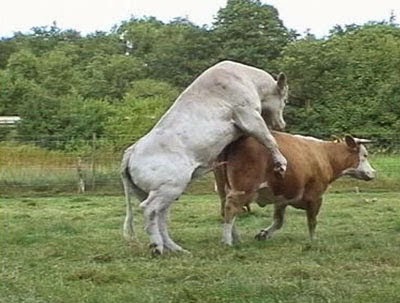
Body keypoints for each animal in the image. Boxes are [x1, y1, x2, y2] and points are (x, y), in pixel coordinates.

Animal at [121, 60, 288, 255]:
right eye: (285, 100)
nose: (282, 124)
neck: (247, 79)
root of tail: (132, 151)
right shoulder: (248, 116)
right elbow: (268, 139)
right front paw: (281, 163)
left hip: (160, 192)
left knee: (160, 217)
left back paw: (177, 249)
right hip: (169, 187)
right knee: (149, 210)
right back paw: (157, 247)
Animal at [214, 132, 376, 246]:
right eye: (365, 155)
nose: (374, 172)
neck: (325, 155)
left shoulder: (282, 198)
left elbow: (279, 221)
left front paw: (264, 234)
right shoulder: (315, 196)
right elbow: (312, 221)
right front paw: (313, 240)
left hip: (223, 189)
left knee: (226, 210)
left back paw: (236, 239)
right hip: (243, 189)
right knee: (231, 209)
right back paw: (227, 242)